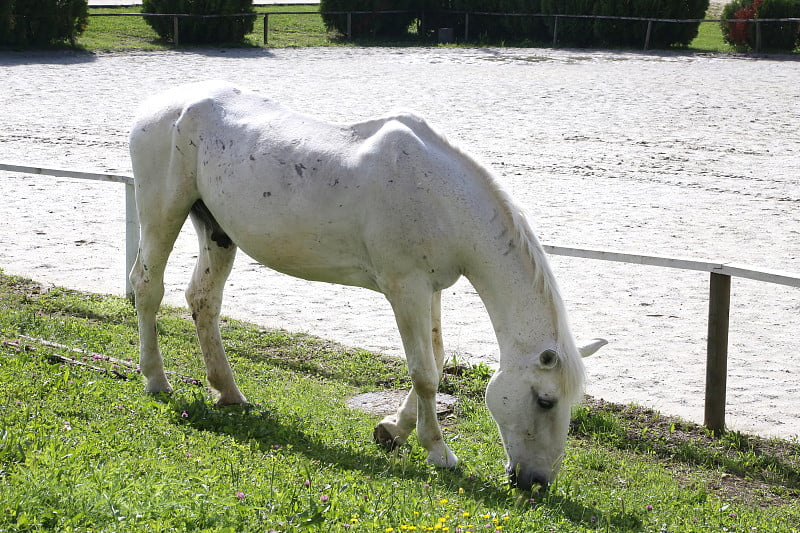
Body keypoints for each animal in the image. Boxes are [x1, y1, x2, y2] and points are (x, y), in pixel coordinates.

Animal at [130, 80, 608, 490]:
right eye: (545, 400)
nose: (537, 483)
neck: (440, 196)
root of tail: (163, 106)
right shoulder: (406, 290)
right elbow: (424, 372)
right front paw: (438, 451)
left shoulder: (431, 289)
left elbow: (435, 359)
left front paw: (392, 430)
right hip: (163, 215)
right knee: (147, 288)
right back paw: (156, 380)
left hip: (217, 231)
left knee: (203, 300)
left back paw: (229, 393)